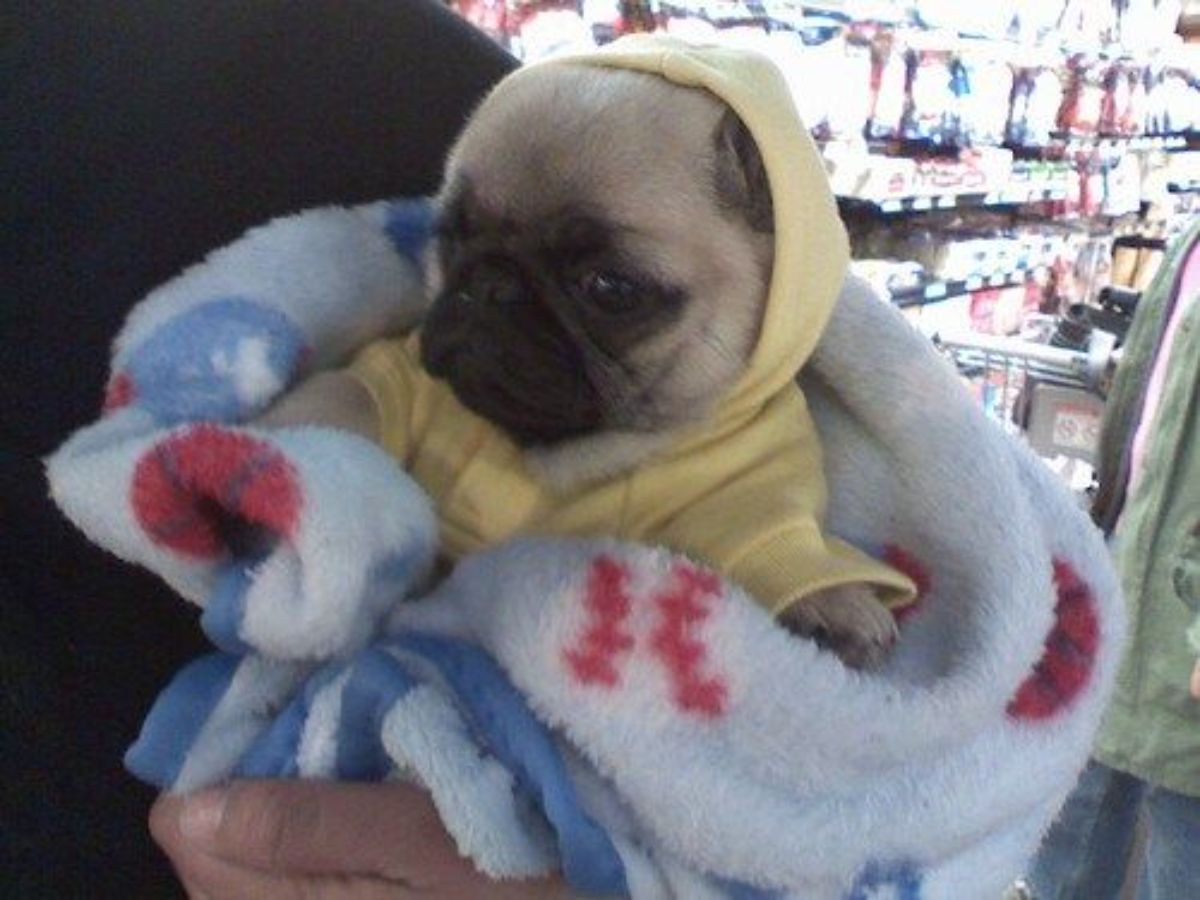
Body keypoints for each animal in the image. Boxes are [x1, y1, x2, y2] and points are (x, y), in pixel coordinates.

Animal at [262, 65, 902, 672]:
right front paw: (269, 454)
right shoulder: (392, 381)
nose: (491, 285)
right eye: (453, 237)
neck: (559, 448)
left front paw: (832, 605)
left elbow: (766, 544)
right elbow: (344, 397)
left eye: (610, 287)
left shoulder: (750, 492)